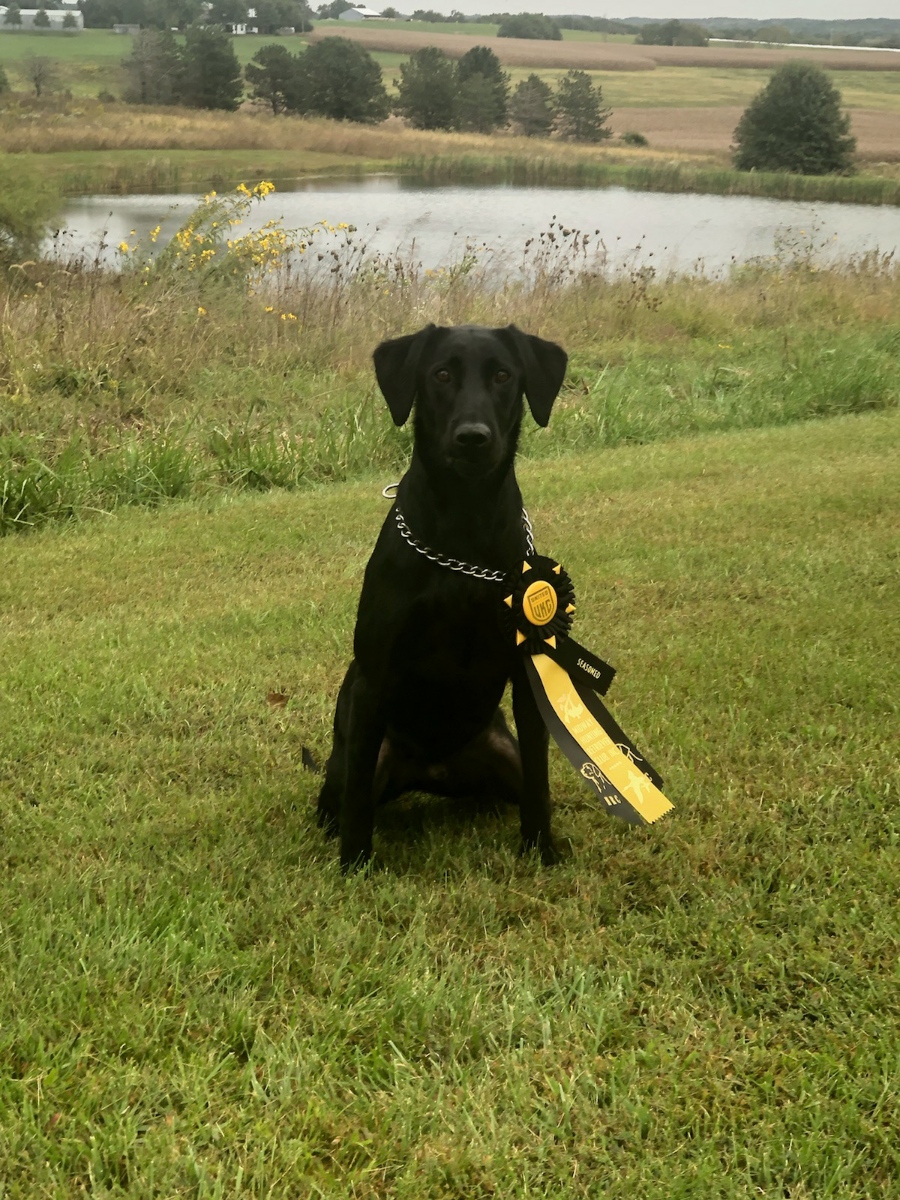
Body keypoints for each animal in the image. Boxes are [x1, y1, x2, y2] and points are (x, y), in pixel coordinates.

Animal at [316, 324, 566, 868]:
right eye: (442, 375)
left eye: (503, 375)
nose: (473, 438)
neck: (462, 531)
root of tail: (432, 772)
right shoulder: (373, 679)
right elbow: (357, 804)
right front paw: (355, 864)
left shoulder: (527, 674)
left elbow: (540, 783)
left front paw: (542, 850)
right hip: (356, 758)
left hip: (501, 752)